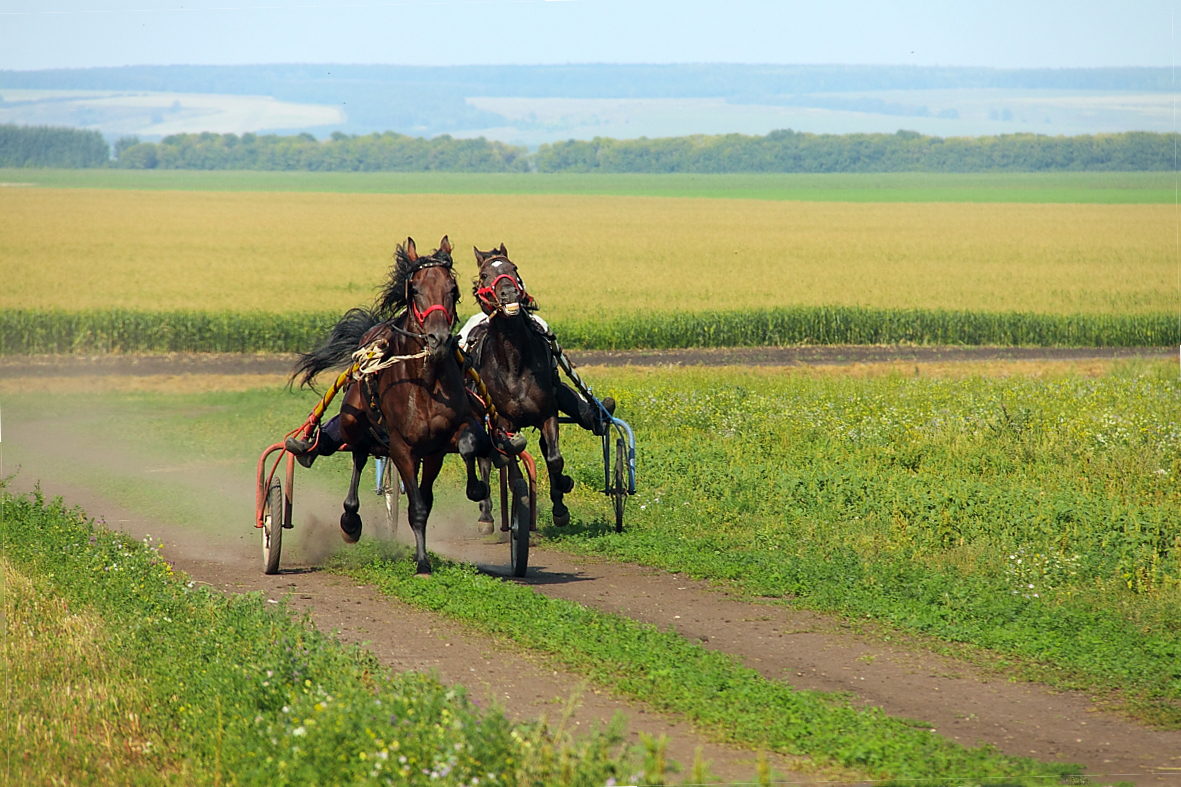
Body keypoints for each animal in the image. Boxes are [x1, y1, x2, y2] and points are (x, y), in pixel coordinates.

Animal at [288, 236, 491, 574]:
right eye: (416, 289)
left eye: (453, 289)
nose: (438, 339)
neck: (425, 381)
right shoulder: (401, 447)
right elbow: (418, 507)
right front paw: (422, 563)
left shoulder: (437, 447)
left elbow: (467, 446)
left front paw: (476, 488)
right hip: (354, 419)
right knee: (358, 454)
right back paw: (350, 519)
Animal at [460, 242, 614, 529]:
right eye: (485, 275)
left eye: (514, 268)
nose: (509, 293)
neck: (513, 363)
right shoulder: (504, 423)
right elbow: (511, 468)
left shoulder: (547, 413)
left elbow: (554, 459)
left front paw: (562, 494)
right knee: (485, 459)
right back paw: (486, 514)